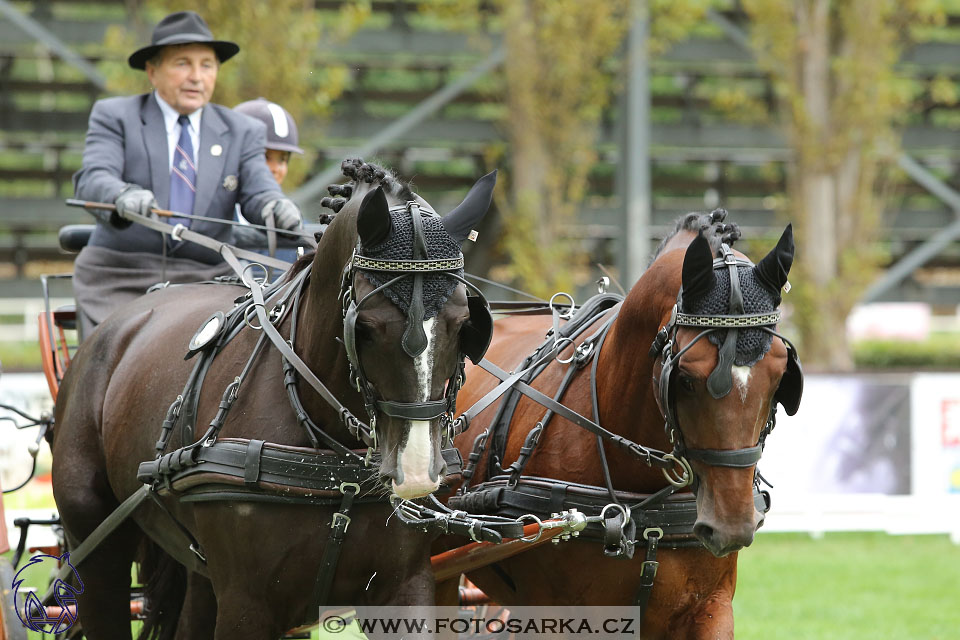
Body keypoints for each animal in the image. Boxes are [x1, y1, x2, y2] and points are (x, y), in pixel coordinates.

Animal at [51, 160, 498, 640]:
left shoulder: (404, 586)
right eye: (366, 326)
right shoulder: (247, 602)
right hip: (95, 547)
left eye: (464, 323)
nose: (414, 471)